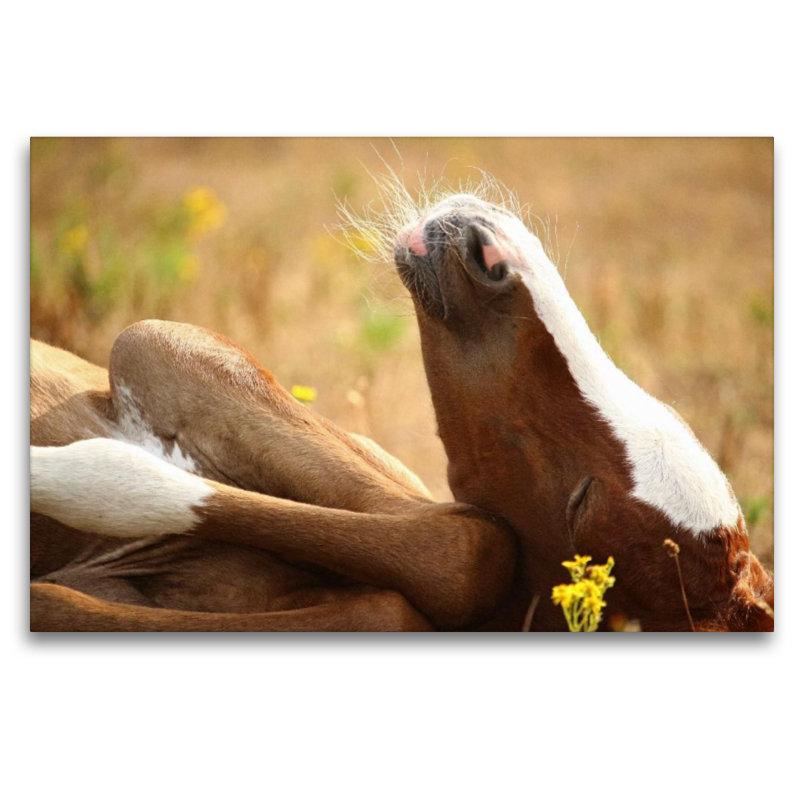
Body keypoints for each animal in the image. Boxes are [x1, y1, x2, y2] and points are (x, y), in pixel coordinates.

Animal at [31, 194, 776, 632]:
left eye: (581, 504)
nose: (487, 251)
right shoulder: (176, 349)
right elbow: (460, 544)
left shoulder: (157, 350)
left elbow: (463, 552)